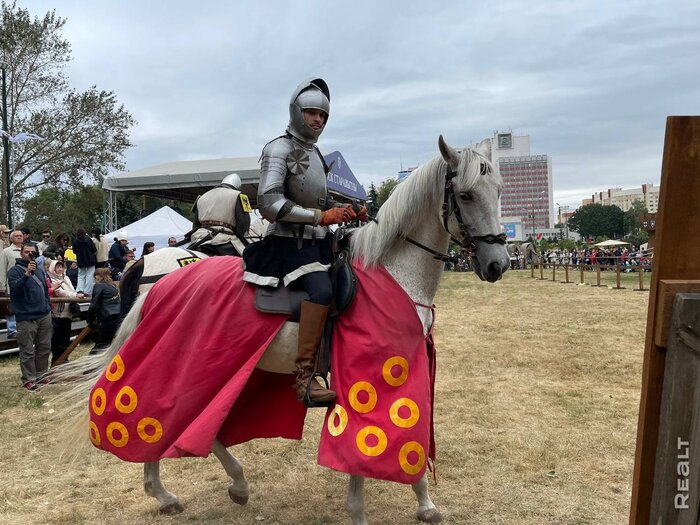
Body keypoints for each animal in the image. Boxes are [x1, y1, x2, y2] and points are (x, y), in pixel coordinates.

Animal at [58, 136, 508, 524]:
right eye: (466, 195)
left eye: (498, 191)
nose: (498, 264)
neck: (393, 273)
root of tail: (159, 283)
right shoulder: (374, 374)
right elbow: (372, 445)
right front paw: (363, 511)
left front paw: (425, 504)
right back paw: (166, 491)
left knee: (202, 425)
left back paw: (230, 485)